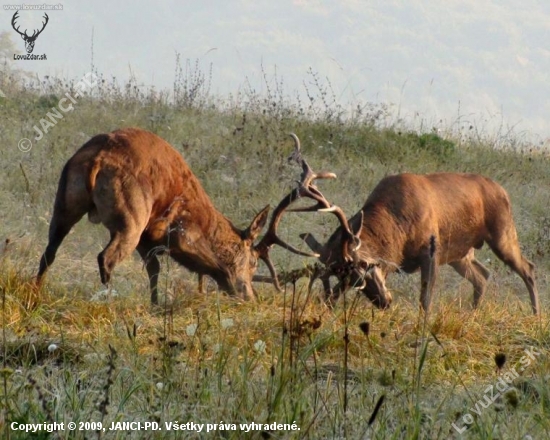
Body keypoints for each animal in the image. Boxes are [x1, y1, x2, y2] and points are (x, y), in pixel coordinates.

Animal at [260, 134, 540, 316]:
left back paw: (535, 314)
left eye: (363, 267)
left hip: (502, 231)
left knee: (528, 267)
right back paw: (472, 313)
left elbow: (425, 300)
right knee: (483, 275)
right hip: (460, 253)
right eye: (342, 276)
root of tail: (502, 190)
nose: (384, 301)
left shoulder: (431, 249)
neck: (398, 232)